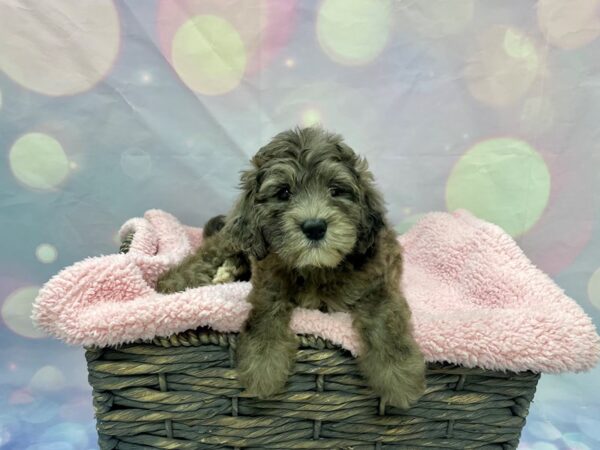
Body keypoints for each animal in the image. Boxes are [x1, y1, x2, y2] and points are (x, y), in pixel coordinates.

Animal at [157, 125, 424, 408]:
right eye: (283, 193)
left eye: (335, 190)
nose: (315, 227)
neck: (317, 267)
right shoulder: (268, 280)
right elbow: (265, 315)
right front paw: (262, 365)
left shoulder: (378, 284)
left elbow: (386, 323)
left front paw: (399, 375)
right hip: (231, 240)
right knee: (207, 254)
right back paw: (172, 282)